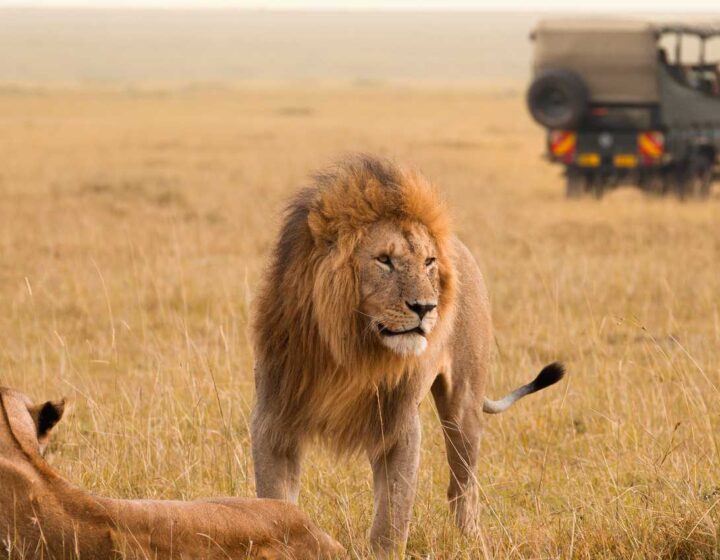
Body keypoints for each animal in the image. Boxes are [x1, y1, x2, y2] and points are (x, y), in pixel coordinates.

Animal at [251, 155, 564, 557]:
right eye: (384, 260)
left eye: (428, 262)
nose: (425, 307)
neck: (350, 351)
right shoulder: (274, 419)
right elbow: (274, 502)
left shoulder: (399, 425)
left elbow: (392, 515)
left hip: (463, 405)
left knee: (462, 486)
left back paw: (472, 542)